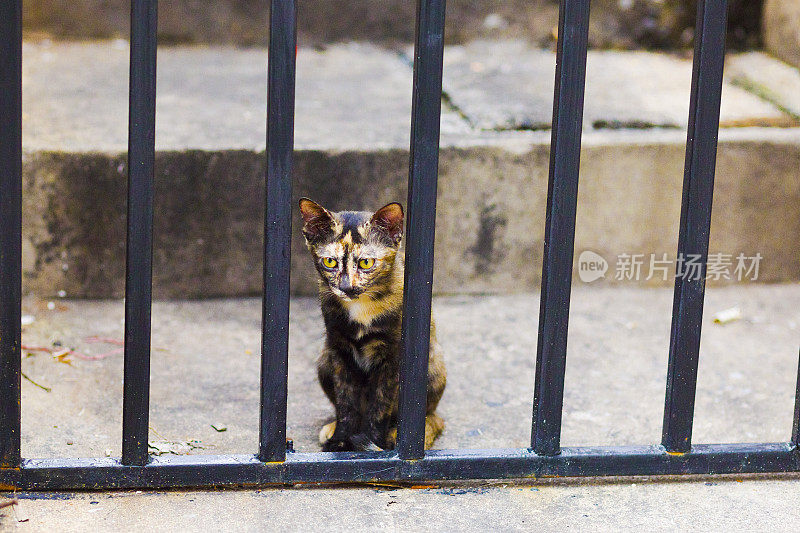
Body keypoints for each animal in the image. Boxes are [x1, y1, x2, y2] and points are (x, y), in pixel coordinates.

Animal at [300, 197, 446, 450]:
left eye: (366, 263)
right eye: (330, 261)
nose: (347, 287)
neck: (361, 306)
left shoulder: (393, 356)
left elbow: (379, 406)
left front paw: (375, 443)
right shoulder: (338, 349)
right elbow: (346, 403)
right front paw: (340, 440)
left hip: (431, 367)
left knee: (435, 419)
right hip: (324, 360)